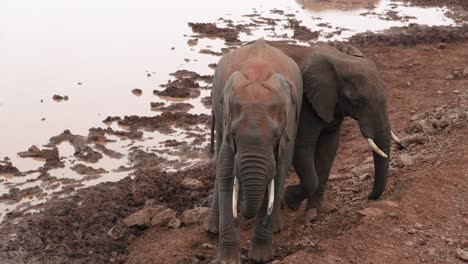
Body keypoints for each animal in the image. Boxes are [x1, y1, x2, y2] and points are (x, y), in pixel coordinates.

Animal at [266, 41, 404, 214]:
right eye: (358, 101)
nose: (370, 197)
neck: (339, 59)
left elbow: (328, 148)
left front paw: (314, 211)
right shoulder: (305, 103)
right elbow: (301, 146)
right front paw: (289, 201)